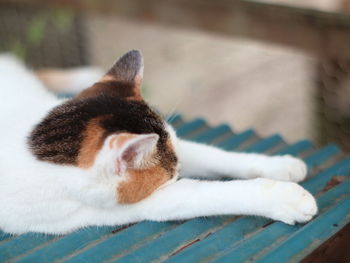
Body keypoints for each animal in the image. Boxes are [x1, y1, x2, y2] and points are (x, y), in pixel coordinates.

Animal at [0, 49, 318, 235]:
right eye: (170, 175)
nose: (178, 172)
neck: (34, 143)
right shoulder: (121, 205)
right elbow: (202, 195)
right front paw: (286, 198)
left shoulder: (172, 142)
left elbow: (212, 154)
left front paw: (279, 164)